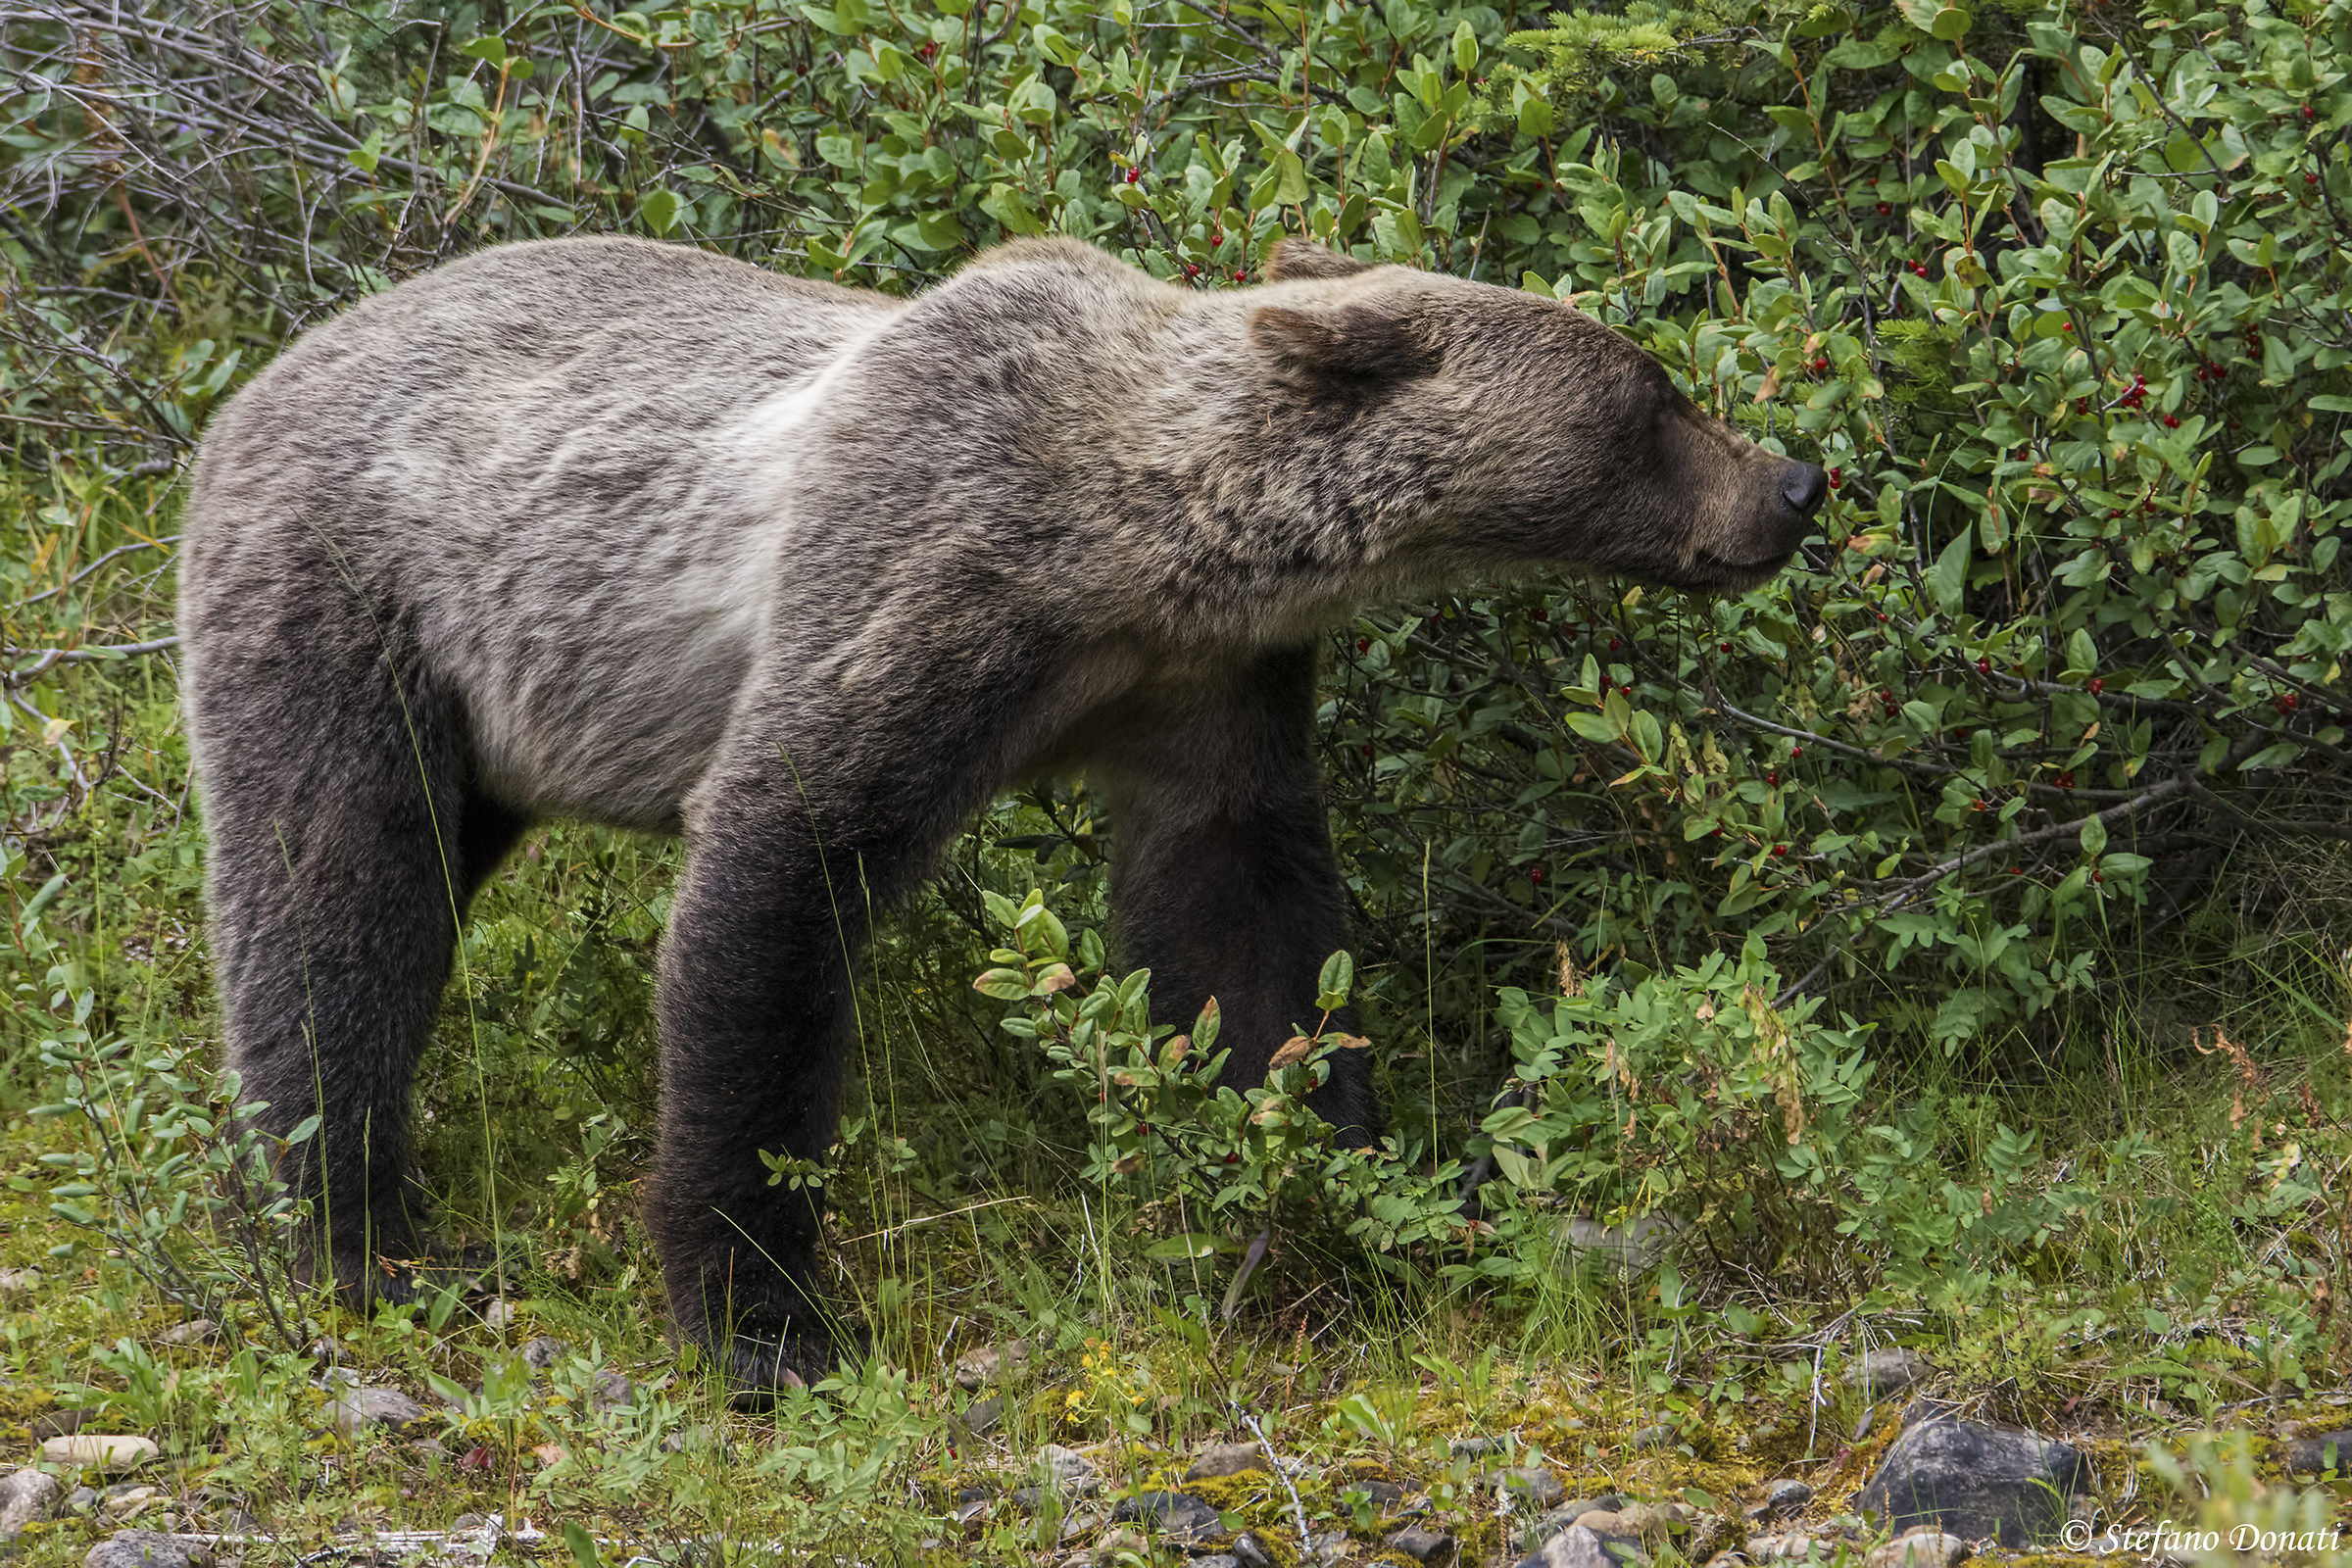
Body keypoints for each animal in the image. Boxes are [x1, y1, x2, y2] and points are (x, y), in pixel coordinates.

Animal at [176, 233, 1823, 1391]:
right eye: (1653, 394)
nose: (1797, 481)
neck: (1143, 542)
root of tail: (244, 382)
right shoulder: (925, 568)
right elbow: (776, 880)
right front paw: (763, 1317)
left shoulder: (1202, 688)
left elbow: (1243, 926)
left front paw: (1336, 1196)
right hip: (359, 602)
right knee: (337, 896)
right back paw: (367, 1234)